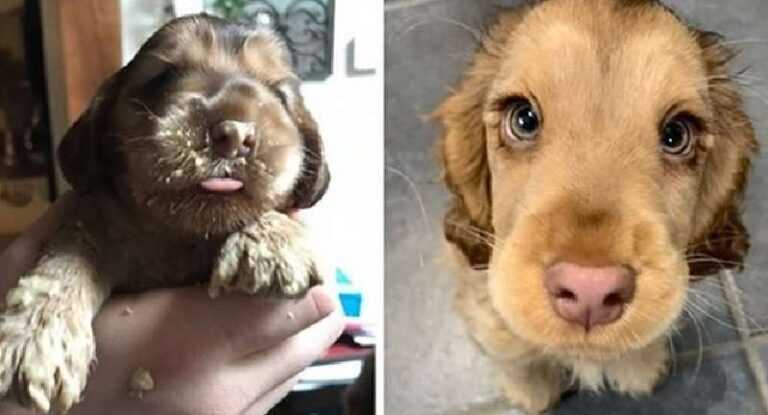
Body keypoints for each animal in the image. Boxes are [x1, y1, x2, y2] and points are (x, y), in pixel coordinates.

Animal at [0, 14, 328, 414]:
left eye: (280, 95)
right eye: (162, 77)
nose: (234, 135)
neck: (182, 236)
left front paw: (273, 246)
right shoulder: (95, 221)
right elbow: (65, 262)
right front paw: (35, 339)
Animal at [436, 0, 760, 412]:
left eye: (677, 134)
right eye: (523, 119)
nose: (589, 291)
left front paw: (639, 368)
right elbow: (509, 347)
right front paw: (532, 391)